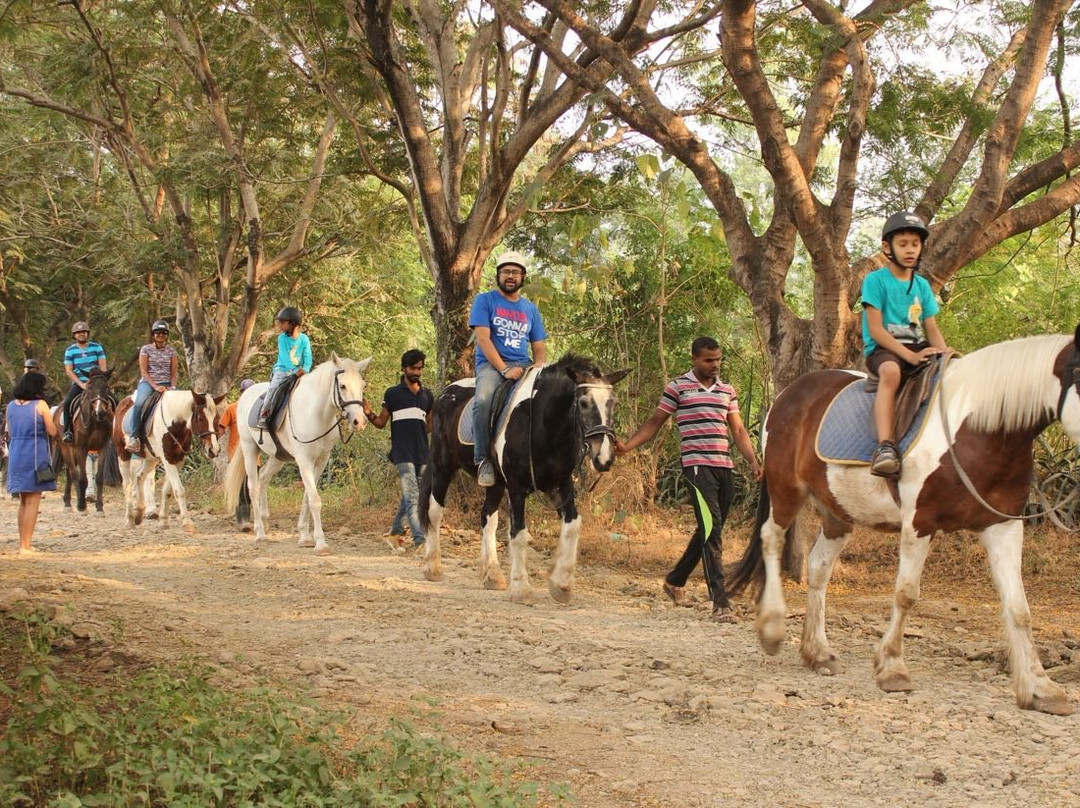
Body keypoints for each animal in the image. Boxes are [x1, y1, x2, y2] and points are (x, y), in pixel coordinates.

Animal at [52, 367, 114, 512]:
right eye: (89, 387)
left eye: (106, 387)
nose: (100, 412)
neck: (95, 421)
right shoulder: (82, 447)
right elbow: (82, 479)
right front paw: (81, 505)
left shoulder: (103, 447)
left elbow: (99, 477)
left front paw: (99, 507)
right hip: (66, 447)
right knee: (73, 473)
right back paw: (78, 502)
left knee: (69, 474)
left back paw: (68, 502)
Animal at [110, 388, 224, 533]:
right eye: (200, 418)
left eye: (217, 418)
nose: (213, 450)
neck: (174, 423)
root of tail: (123, 402)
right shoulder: (168, 458)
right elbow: (179, 490)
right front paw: (187, 522)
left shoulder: (178, 460)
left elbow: (168, 490)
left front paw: (164, 521)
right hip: (123, 454)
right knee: (127, 485)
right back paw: (130, 519)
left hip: (151, 458)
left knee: (139, 477)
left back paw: (139, 512)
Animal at [223, 354, 371, 557]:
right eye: (342, 386)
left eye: (362, 386)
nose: (359, 422)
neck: (317, 414)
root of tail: (246, 394)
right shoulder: (304, 461)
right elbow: (315, 500)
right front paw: (321, 543)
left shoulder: (321, 461)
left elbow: (308, 496)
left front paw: (305, 536)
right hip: (249, 449)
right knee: (253, 486)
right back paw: (260, 533)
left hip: (278, 457)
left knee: (263, 478)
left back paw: (265, 520)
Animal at [419, 356, 630, 604]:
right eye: (584, 403)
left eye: (613, 403)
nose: (604, 458)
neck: (544, 425)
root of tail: (446, 393)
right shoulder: (517, 487)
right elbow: (518, 534)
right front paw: (521, 589)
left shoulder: (561, 485)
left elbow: (572, 526)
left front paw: (561, 585)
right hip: (443, 467)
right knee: (435, 511)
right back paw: (432, 567)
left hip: (495, 483)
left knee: (487, 518)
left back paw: (492, 575)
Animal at [725, 324, 1080, 717]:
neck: (980, 430)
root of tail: (786, 396)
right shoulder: (919, 522)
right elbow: (906, 594)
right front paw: (892, 667)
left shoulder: (1003, 526)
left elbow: (1019, 608)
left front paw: (1040, 687)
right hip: (787, 490)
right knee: (771, 539)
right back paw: (772, 629)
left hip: (837, 510)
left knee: (818, 567)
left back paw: (818, 653)